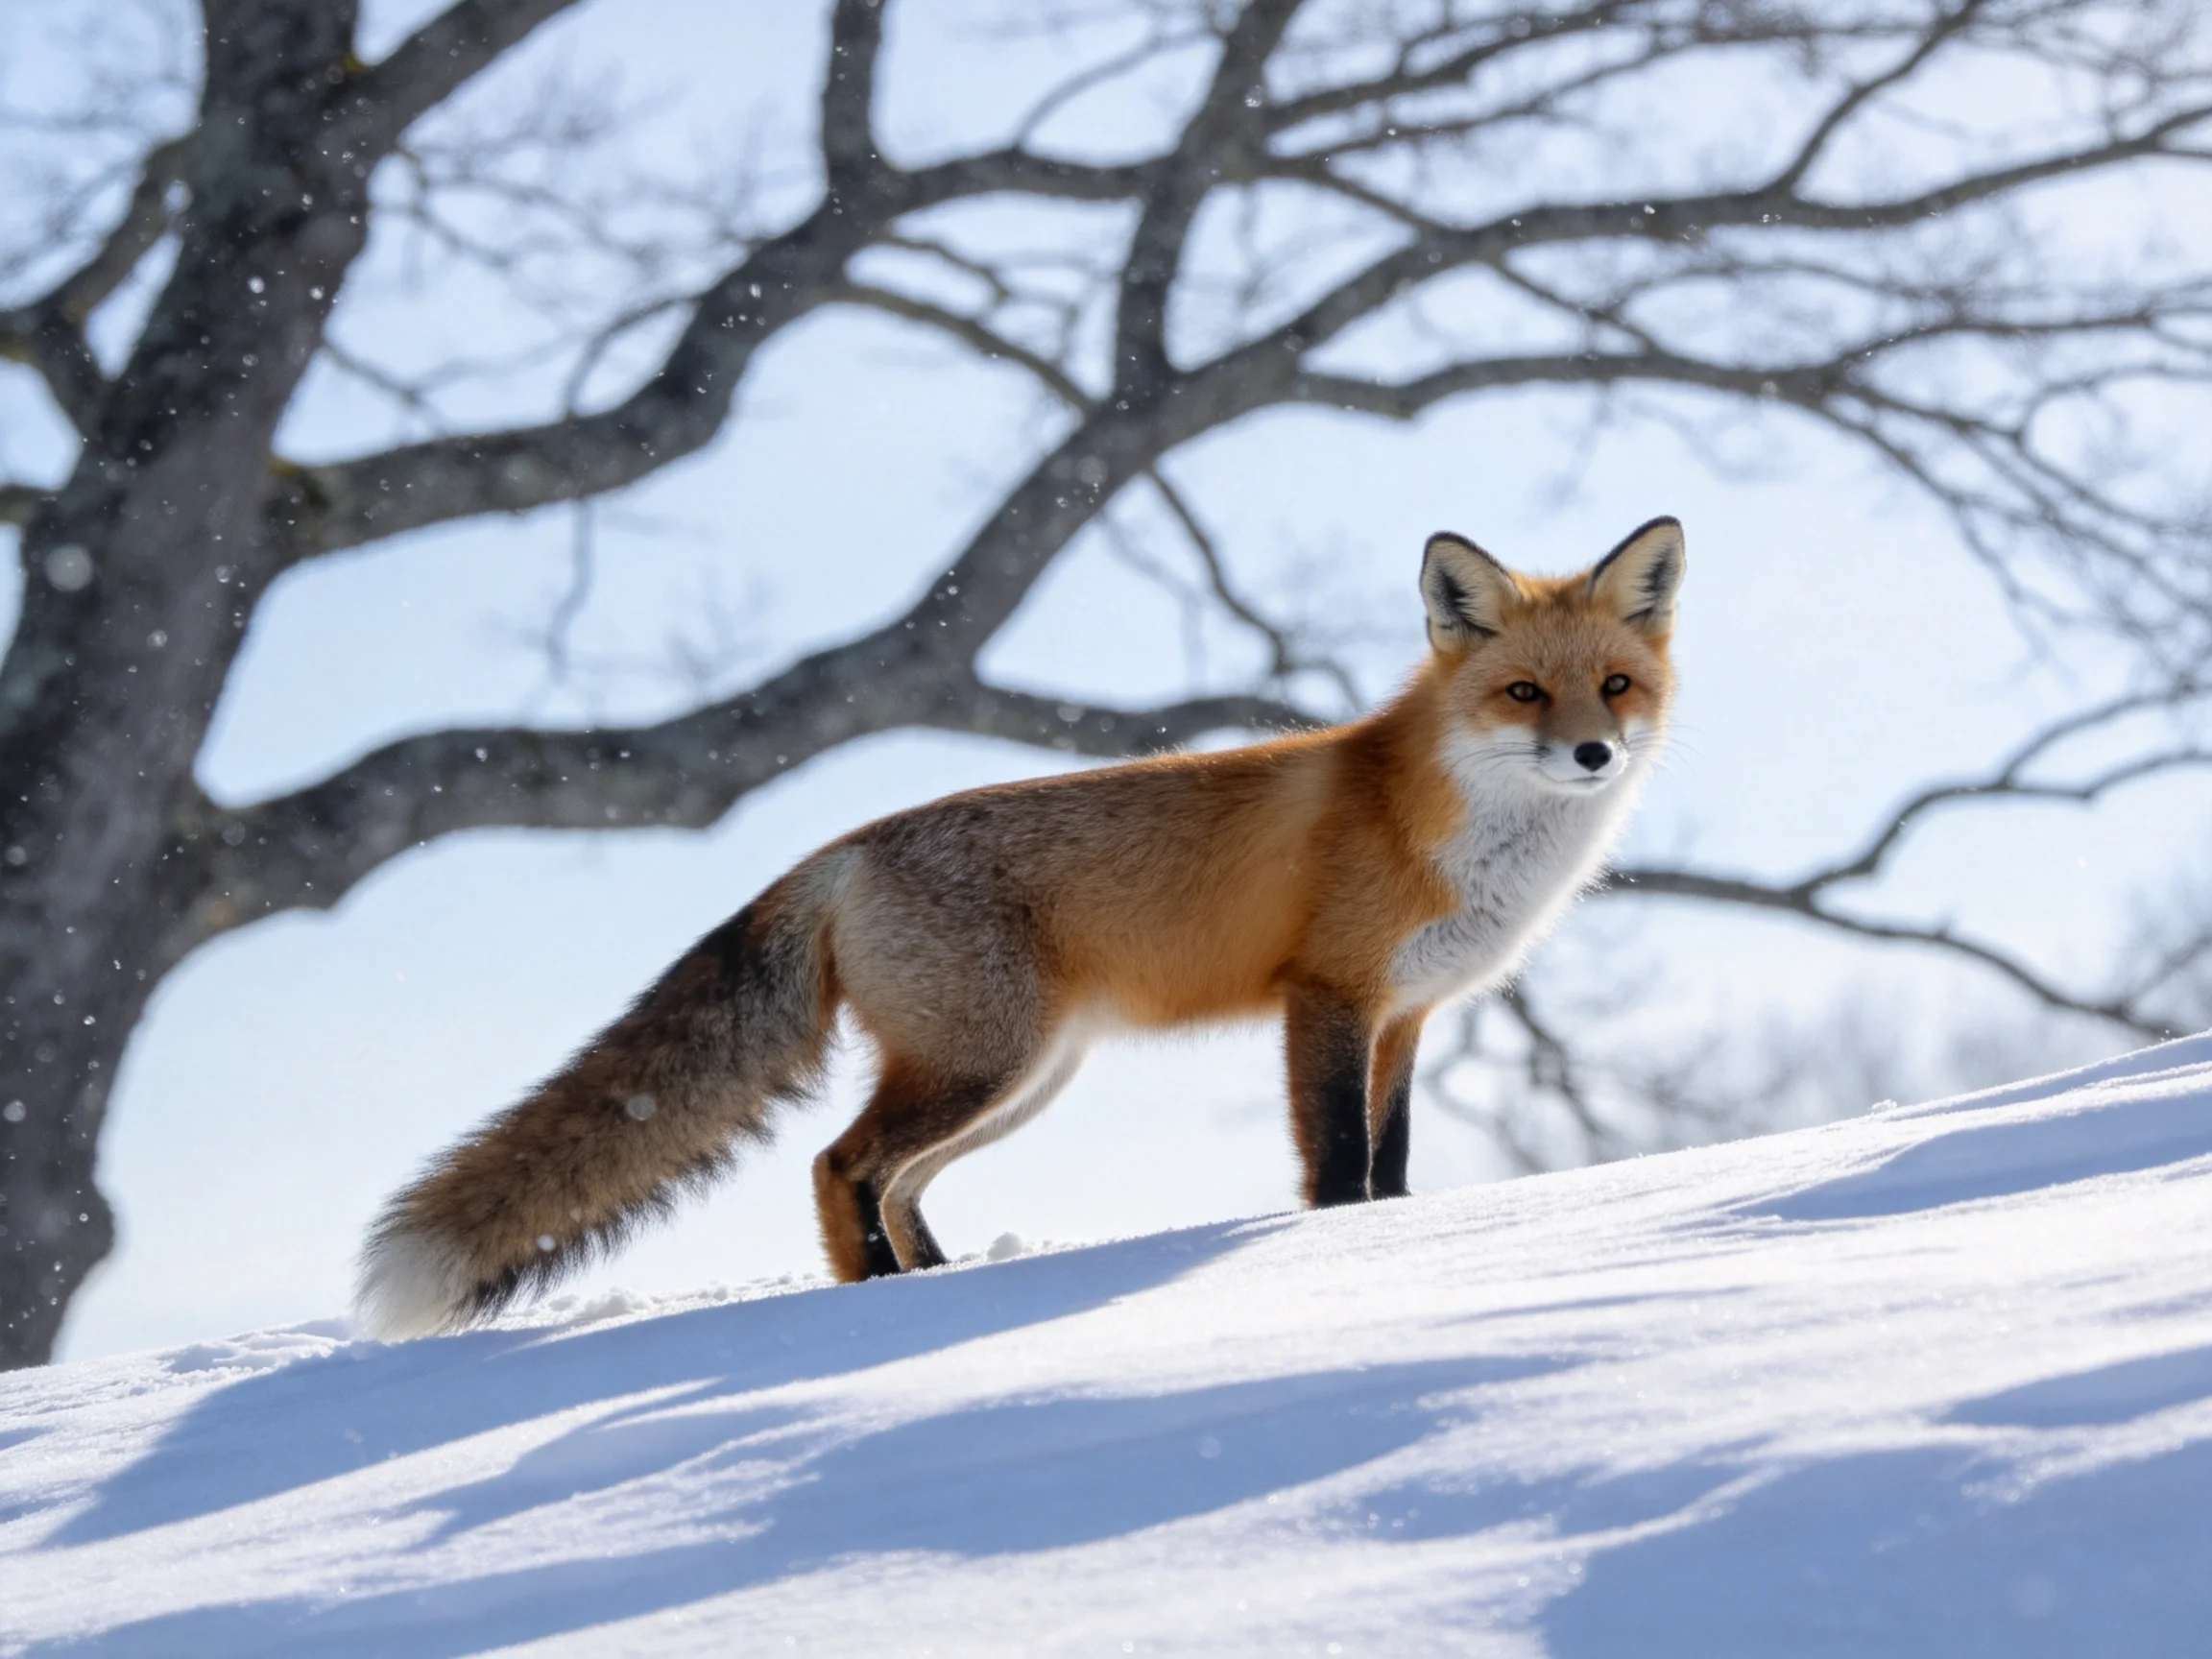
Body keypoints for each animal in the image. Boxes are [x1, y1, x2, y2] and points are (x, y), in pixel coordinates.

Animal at [354, 516, 1684, 1339]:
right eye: (1523, 692)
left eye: (1615, 686)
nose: (1592, 753)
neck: (1453, 831)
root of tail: (840, 849)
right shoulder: (1329, 996)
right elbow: (1341, 1167)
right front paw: (1339, 1253)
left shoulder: (1405, 1017)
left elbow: (1394, 1163)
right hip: (983, 1064)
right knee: (839, 1166)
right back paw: (880, 1307)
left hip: (1017, 1080)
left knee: (891, 1183)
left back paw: (937, 1291)